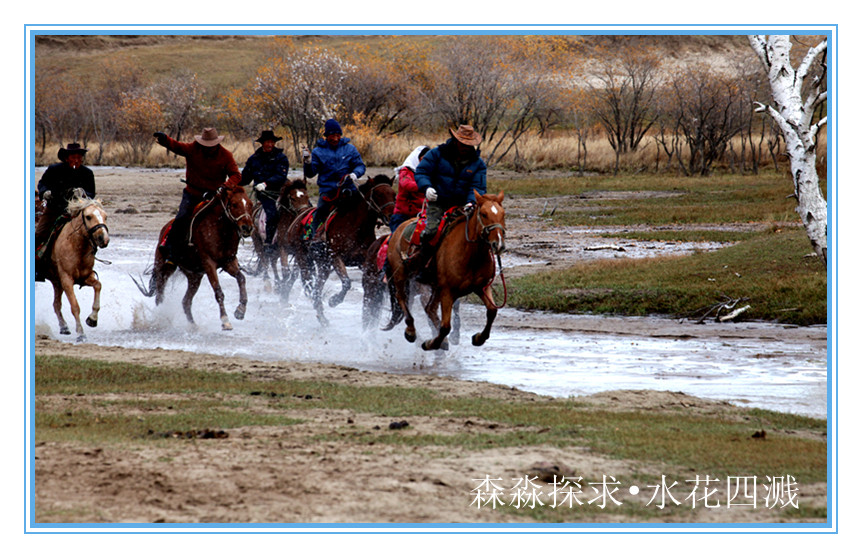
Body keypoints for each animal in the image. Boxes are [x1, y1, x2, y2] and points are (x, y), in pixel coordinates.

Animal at [41, 197, 109, 346]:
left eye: (105, 216)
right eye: (88, 216)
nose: (104, 239)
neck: (76, 247)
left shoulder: (85, 277)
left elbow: (98, 285)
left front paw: (92, 319)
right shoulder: (67, 280)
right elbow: (75, 306)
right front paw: (81, 334)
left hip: (56, 282)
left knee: (56, 305)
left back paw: (64, 327)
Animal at [132, 186, 253, 330]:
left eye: (250, 204)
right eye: (234, 204)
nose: (247, 227)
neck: (219, 231)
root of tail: (165, 228)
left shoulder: (228, 262)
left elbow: (241, 278)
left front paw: (240, 310)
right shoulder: (209, 263)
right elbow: (218, 291)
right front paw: (225, 320)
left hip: (194, 276)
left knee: (186, 301)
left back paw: (193, 325)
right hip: (164, 269)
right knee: (160, 297)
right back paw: (162, 320)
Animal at [284, 173, 394, 326]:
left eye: (393, 194)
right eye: (378, 194)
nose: (391, 216)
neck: (355, 226)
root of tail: (299, 215)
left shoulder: (364, 261)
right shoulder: (336, 257)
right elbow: (347, 282)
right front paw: (334, 300)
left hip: (323, 265)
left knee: (316, 290)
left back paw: (323, 319)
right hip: (303, 258)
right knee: (310, 288)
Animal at [386, 191, 506, 350]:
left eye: (503, 214)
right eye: (484, 214)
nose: (498, 244)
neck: (471, 255)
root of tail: (399, 229)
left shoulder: (482, 287)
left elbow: (492, 311)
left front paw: (478, 338)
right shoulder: (448, 291)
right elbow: (445, 327)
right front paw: (431, 344)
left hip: (436, 287)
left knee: (430, 308)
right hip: (400, 275)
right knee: (401, 298)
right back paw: (411, 331)